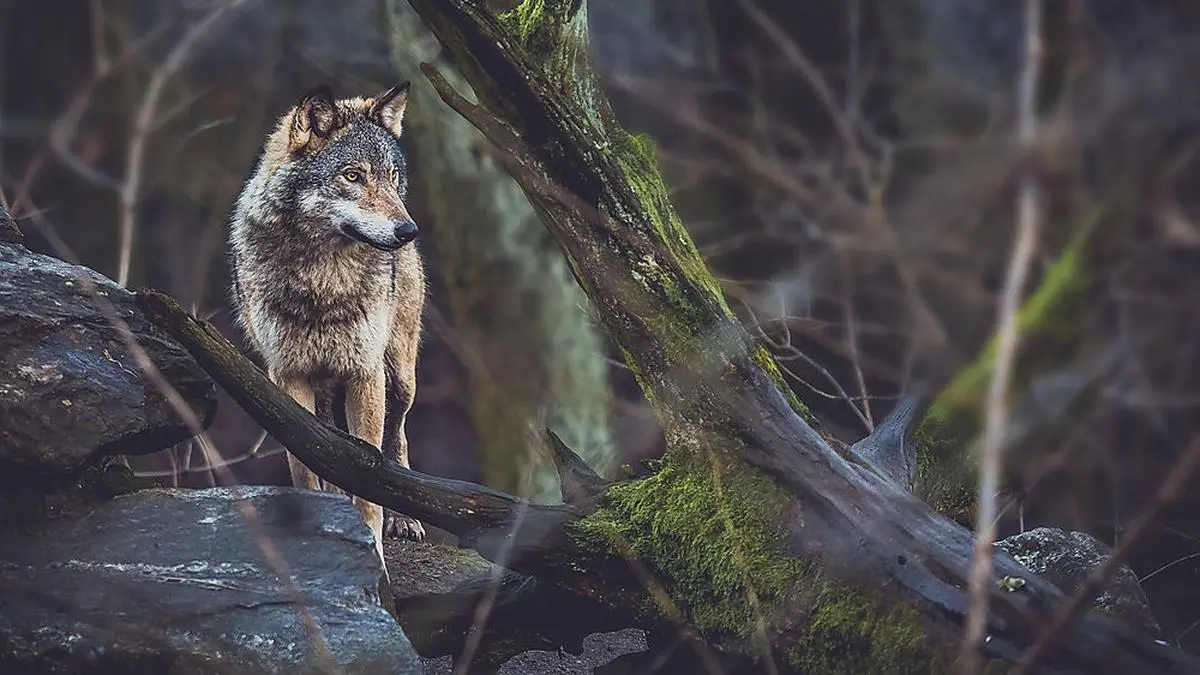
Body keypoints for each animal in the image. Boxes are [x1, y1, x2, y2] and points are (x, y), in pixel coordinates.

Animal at [228, 83, 426, 567]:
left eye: (392, 176)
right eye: (353, 176)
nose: (408, 230)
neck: (323, 279)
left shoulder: (364, 374)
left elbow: (370, 470)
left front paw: (371, 543)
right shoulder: (287, 376)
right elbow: (305, 466)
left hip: (399, 378)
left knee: (398, 437)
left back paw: (405, 519)